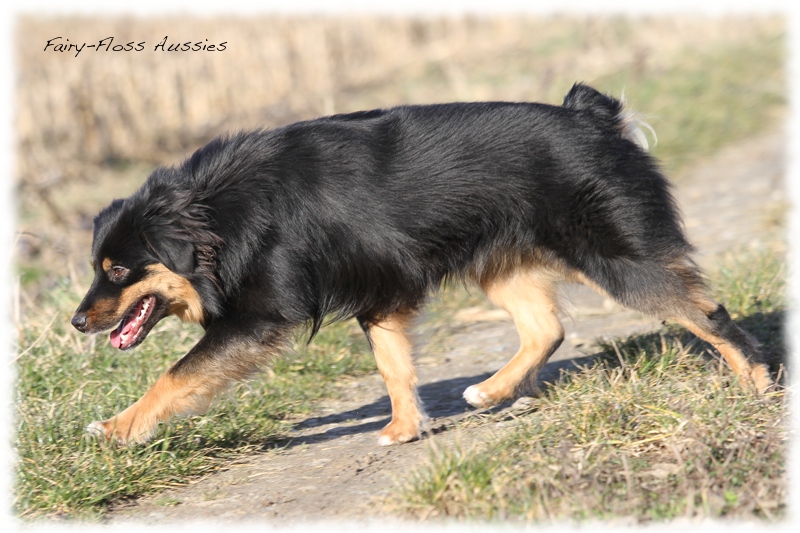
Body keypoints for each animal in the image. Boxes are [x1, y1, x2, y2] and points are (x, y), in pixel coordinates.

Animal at [72, 84, 772, 444]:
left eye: (116, 271)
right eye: (97, 267)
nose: (77, 323)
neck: (213, 212)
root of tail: (593, 118)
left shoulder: (259, 317)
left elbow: (174, 378)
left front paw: (115, 429)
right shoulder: (379, 292)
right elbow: (394, 367)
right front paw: (405, 429)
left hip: (611, 256)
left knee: (707, 310)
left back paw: (760, 385)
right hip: (502, 263)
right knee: (545, 329)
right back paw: (489, 390)